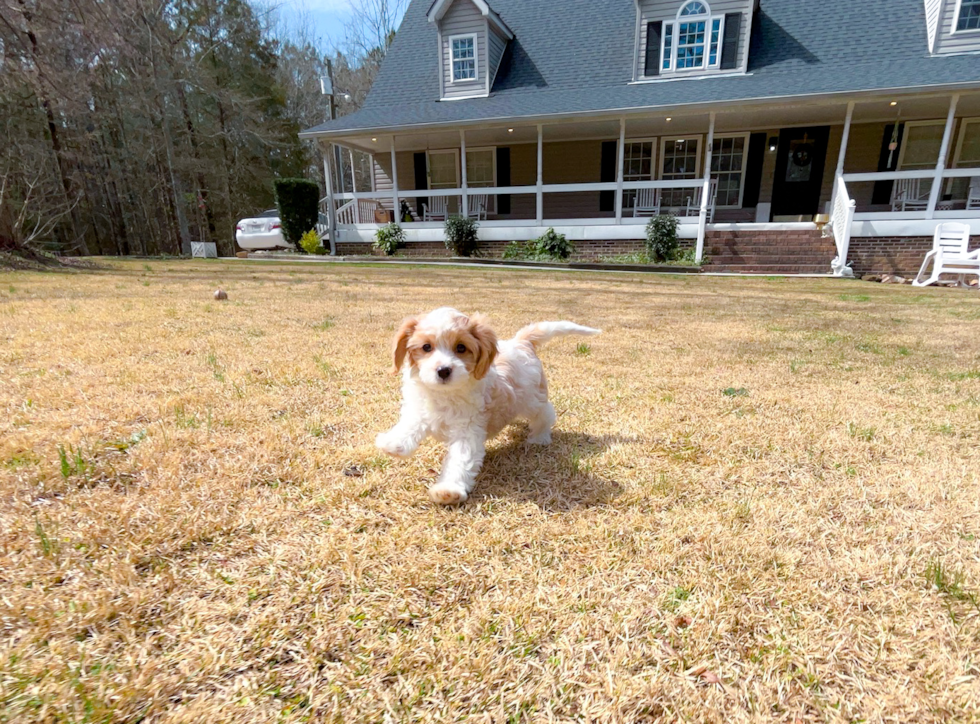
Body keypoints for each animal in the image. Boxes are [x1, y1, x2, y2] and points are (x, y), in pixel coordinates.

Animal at [378, 308, 600, 506]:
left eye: (461, 348)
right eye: (426, 347)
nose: (443, 370)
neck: (444, 394)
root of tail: (521, 342)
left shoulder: (468, 431)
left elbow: (460, 459)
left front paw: (448, 490)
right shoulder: (419, 409)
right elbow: (409, 425)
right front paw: (393, 443)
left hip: (533, 399)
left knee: (545, 413)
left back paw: (540, 437)